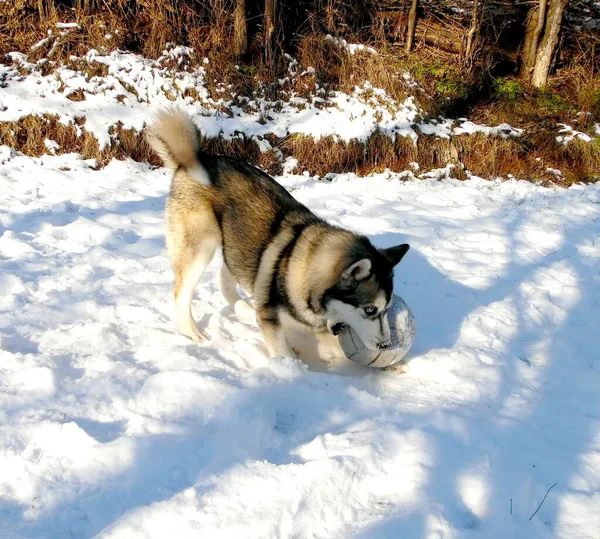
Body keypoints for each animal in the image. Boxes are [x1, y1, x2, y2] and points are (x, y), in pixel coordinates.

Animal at [146, 109, 410, 358]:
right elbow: (284, 352)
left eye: (387, 310)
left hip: (238, 243)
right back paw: (192, 331)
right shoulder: (272, 320)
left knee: (228, 279)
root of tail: (194, 159)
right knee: (182, 292)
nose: (386, 345)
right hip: (202, 245)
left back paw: (245, 310)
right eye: (370, 310)